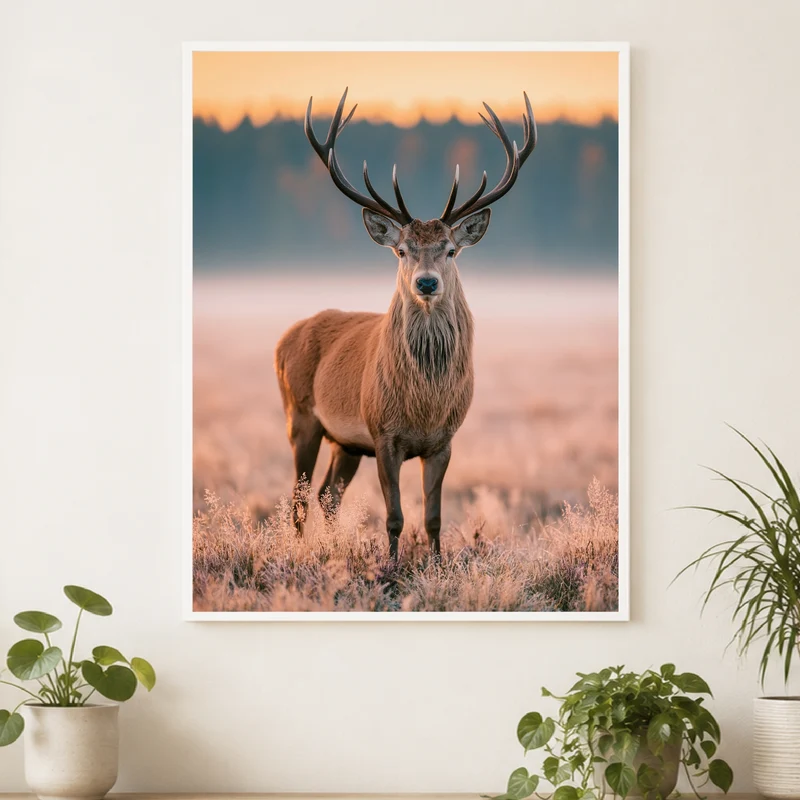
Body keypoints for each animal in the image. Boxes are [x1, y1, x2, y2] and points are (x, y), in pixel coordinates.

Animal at [274, 88, 537, 560]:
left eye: (450, 249)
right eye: (402, 250)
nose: (426, 282)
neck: (423, 404)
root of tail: (284, 339)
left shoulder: (444, 440)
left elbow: (433, 517)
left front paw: (436, 562)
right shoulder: (383, 434)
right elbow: (394, 516)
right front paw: (392, 565)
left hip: (346, 443)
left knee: (327, 495)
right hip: (299, 415)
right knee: (300, 497)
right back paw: (299, 551)